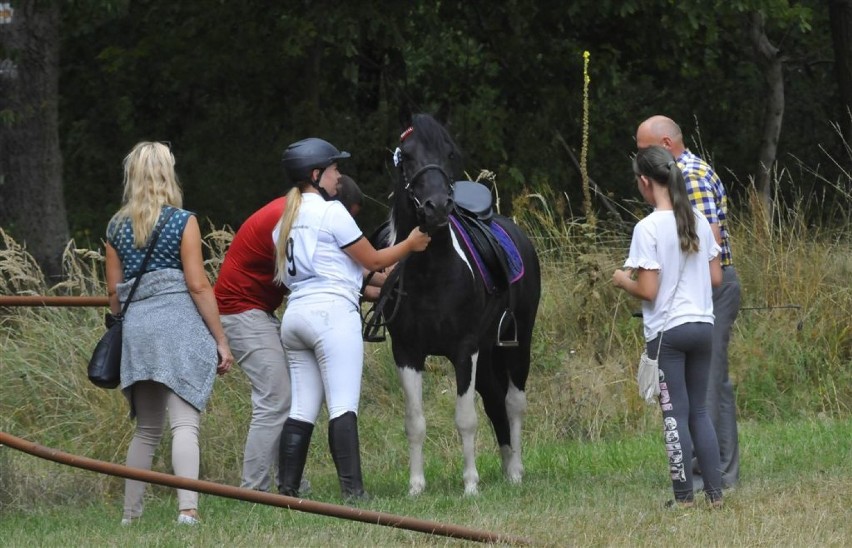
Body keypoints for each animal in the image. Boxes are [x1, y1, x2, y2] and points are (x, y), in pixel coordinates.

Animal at [378, 113, 544, 494]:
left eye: (450, 154)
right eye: (407, 157)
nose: (437, 206)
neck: (432, 275)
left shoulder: (464, 350)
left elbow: (466, 418)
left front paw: (470, 486)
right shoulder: (407, 353)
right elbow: (415, 422)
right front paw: (416, 487)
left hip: (518, 344)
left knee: (513, 403)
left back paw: (516, 471)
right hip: (487, 355)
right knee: (495, 400)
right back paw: (506, 465)